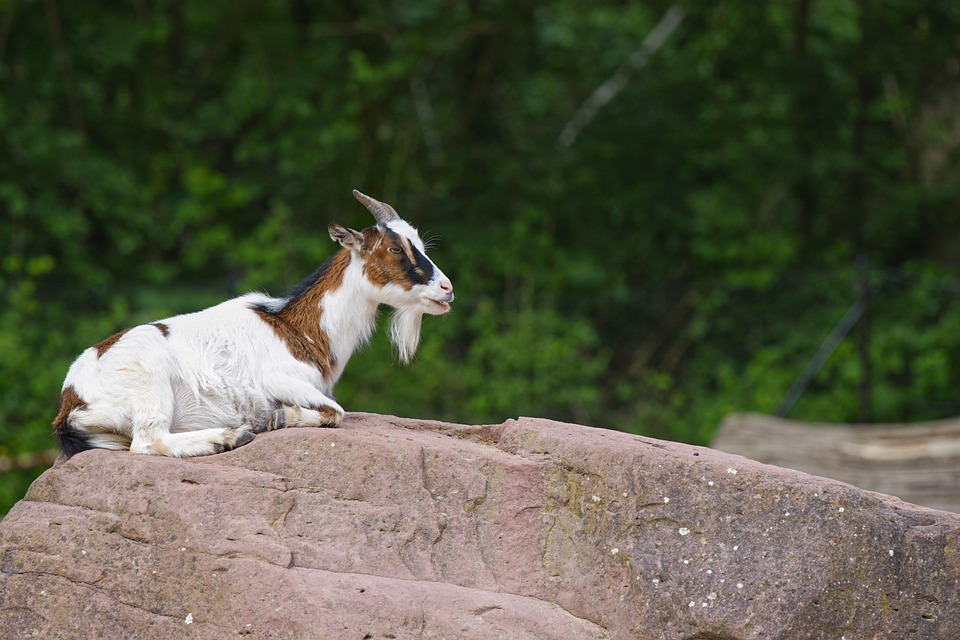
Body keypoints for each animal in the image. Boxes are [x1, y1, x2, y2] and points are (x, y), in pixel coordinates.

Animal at [52, 190, 454, 458]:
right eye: (396, 249)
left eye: (419, 244)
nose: (446, 289)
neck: (300, 330)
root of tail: (71, 396)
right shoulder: (278, 379)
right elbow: (336, 412)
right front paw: (277, 418)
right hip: (149, 381)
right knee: (147, 440)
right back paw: (231, 436)